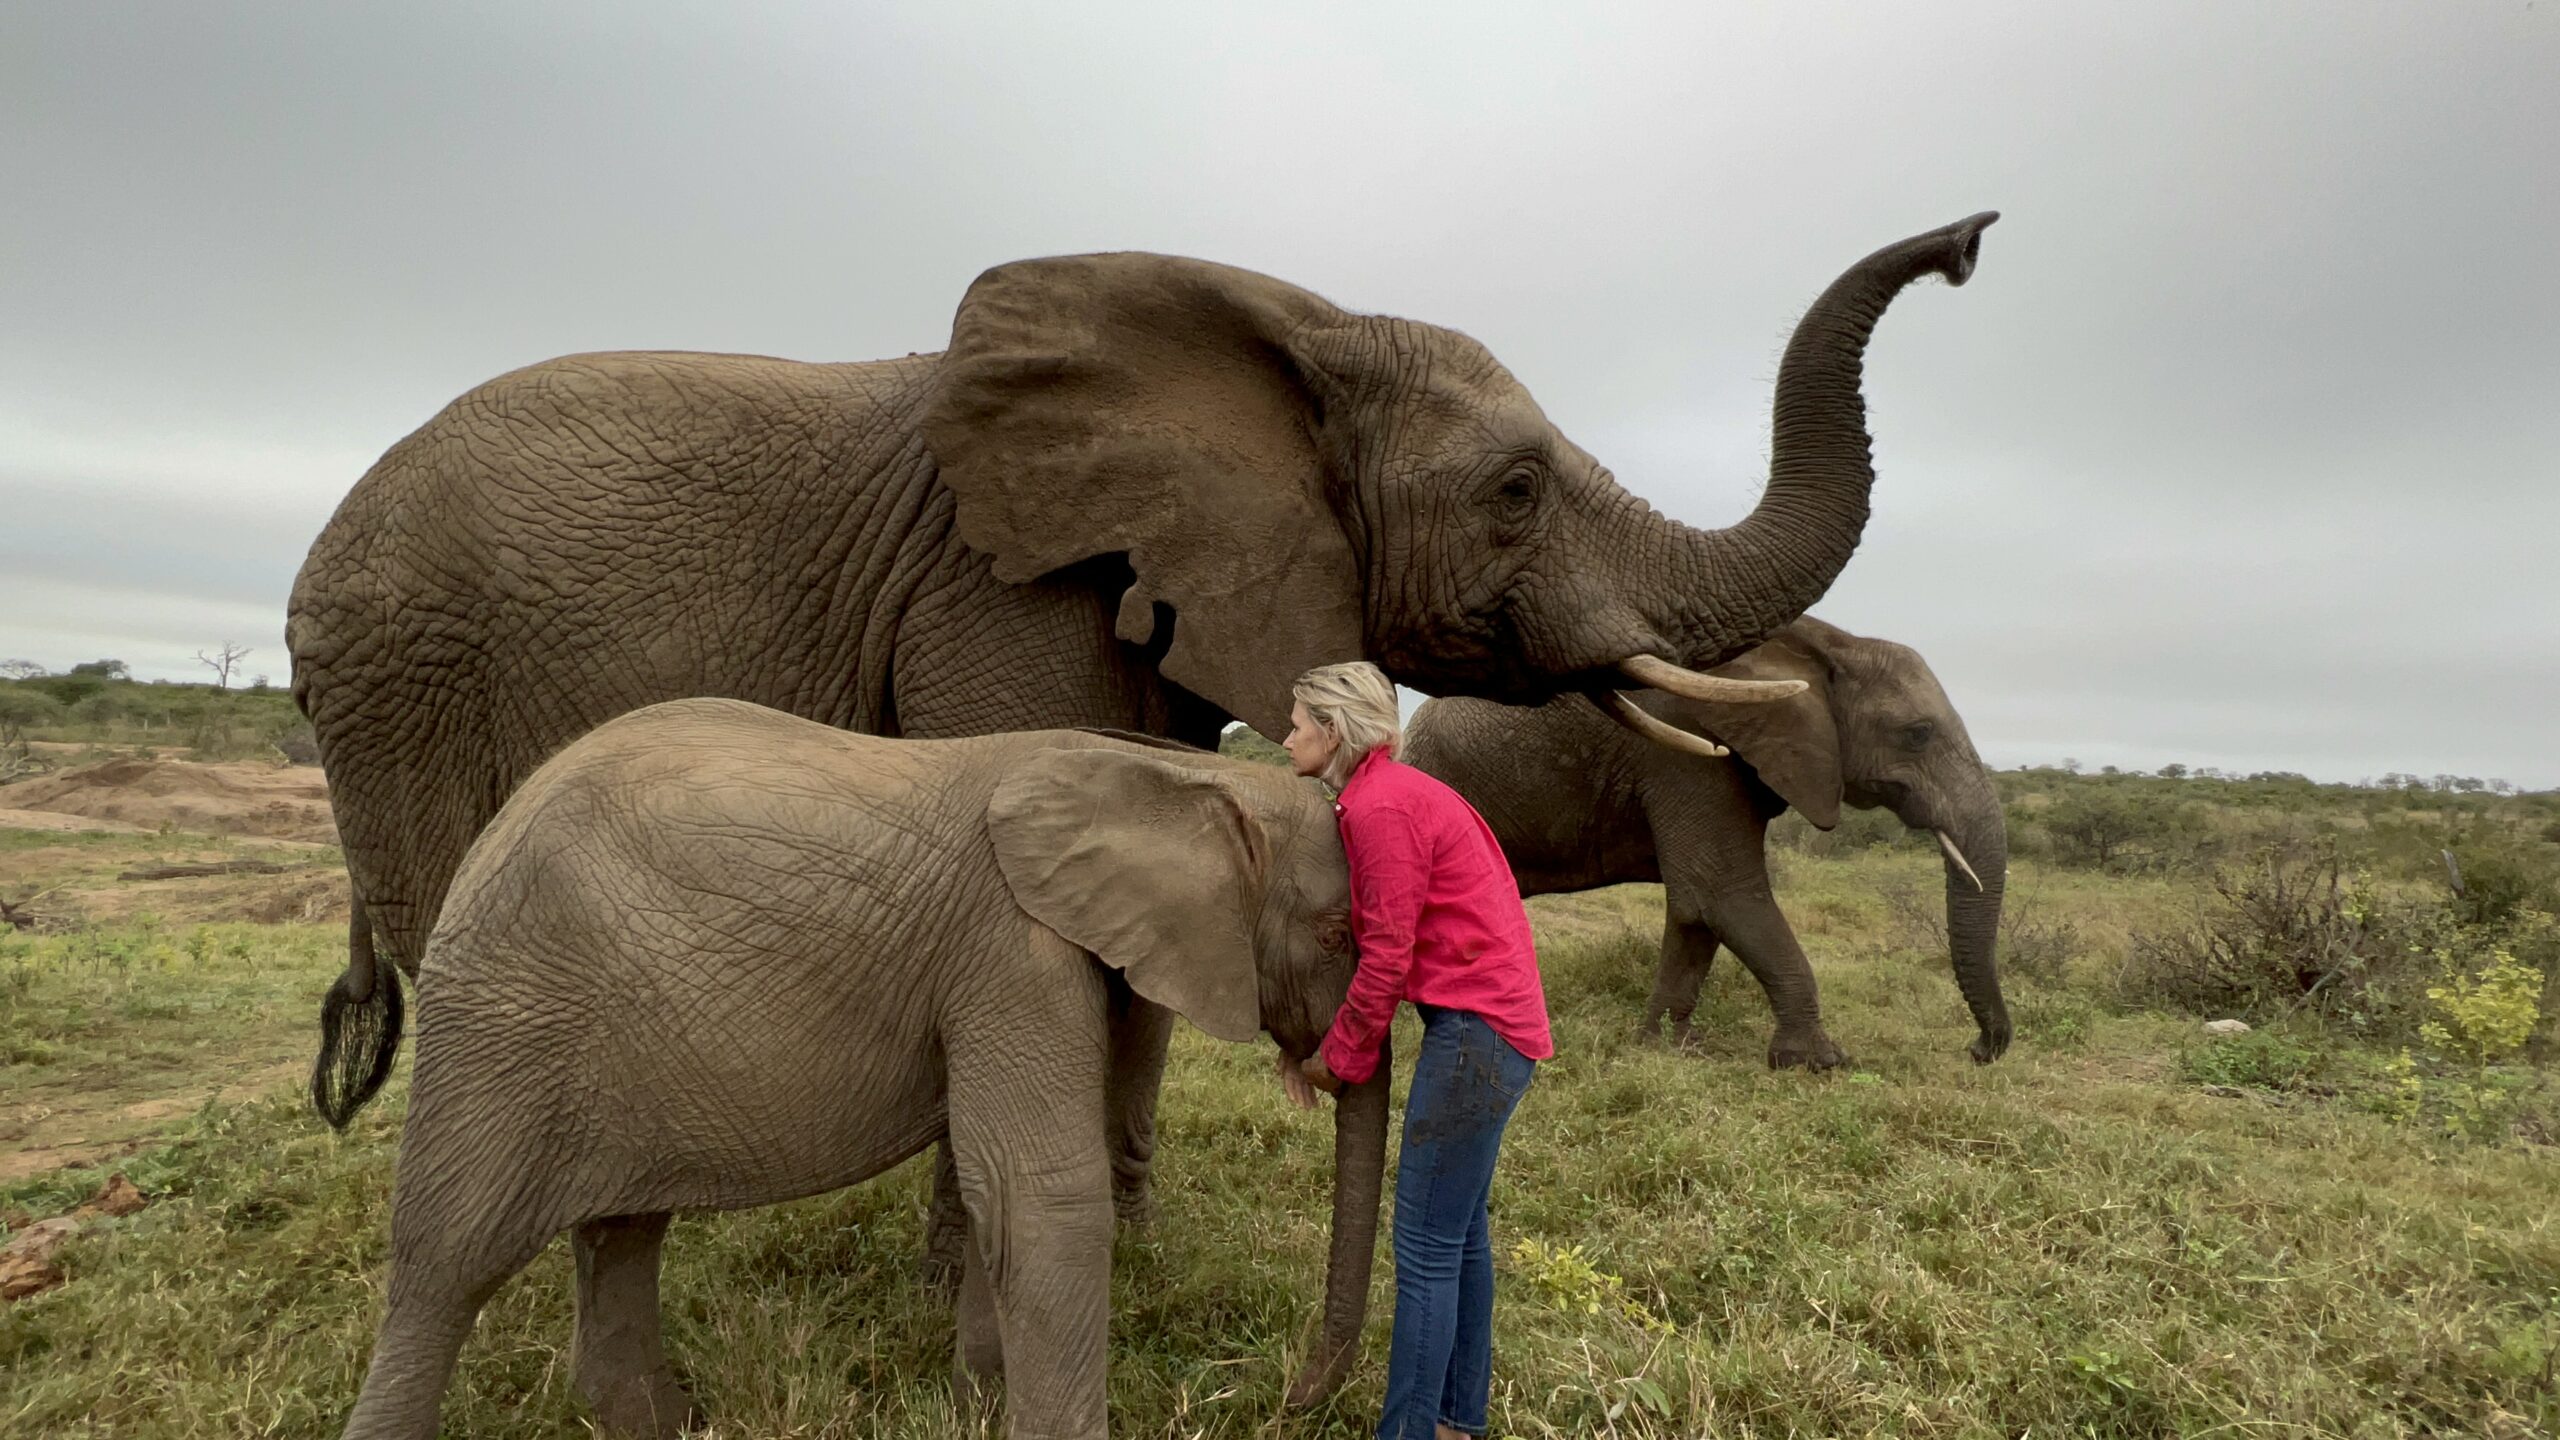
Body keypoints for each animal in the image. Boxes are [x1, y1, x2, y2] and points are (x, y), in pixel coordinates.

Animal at [337, 701, 1365, 1440]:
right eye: (1334, 935)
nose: (1293, 1399)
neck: (1182, 776)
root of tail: (491, 831)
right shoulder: (1008, 946)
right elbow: (1042, 1192)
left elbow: (997, 1191)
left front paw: (974, 1410)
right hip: (506, 1019)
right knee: (449, 1260)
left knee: (621, 1231)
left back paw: (668, 1425)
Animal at [1403, 615, 2010, 1068]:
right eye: (1918, 734)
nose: (1978, 1050)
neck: (1830, 643)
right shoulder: (1689, 751)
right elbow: (1725, 894)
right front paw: (1818, 1062)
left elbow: (1696, 911)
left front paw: (1666, 1047)